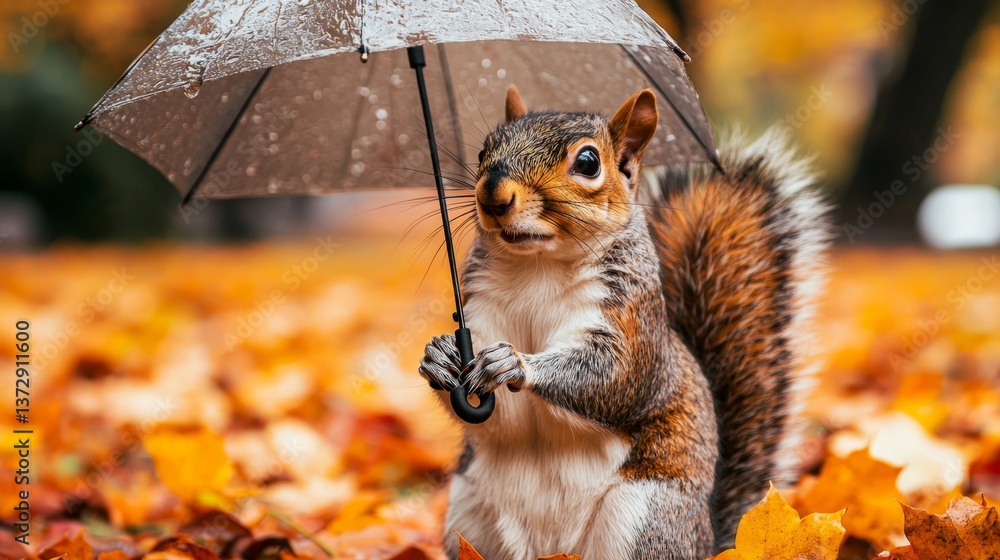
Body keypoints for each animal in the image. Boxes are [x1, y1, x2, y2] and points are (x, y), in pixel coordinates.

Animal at [418, 85, 829, 559]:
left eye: (588, 163)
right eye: (484, 149)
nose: (493, 196)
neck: (537, 265)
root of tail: (707, 540)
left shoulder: (633, 319)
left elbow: (620, 379)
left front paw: (515, 364)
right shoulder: (480, 312)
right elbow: (490, 415)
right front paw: (438, 356)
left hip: (645, 516)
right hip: (469, 514)